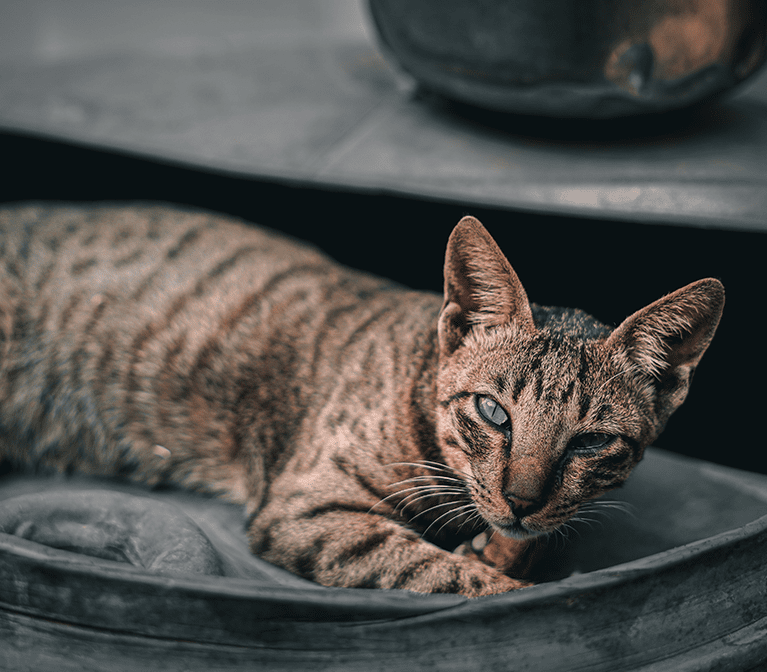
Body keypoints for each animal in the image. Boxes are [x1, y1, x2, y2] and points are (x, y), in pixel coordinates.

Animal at [0, 205, 724, 600]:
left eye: (590, 442)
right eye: (493, 412)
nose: (521, 499)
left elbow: (518, 546)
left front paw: (501, 547)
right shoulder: (309, 507)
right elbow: (452, 579)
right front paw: (497, 575)